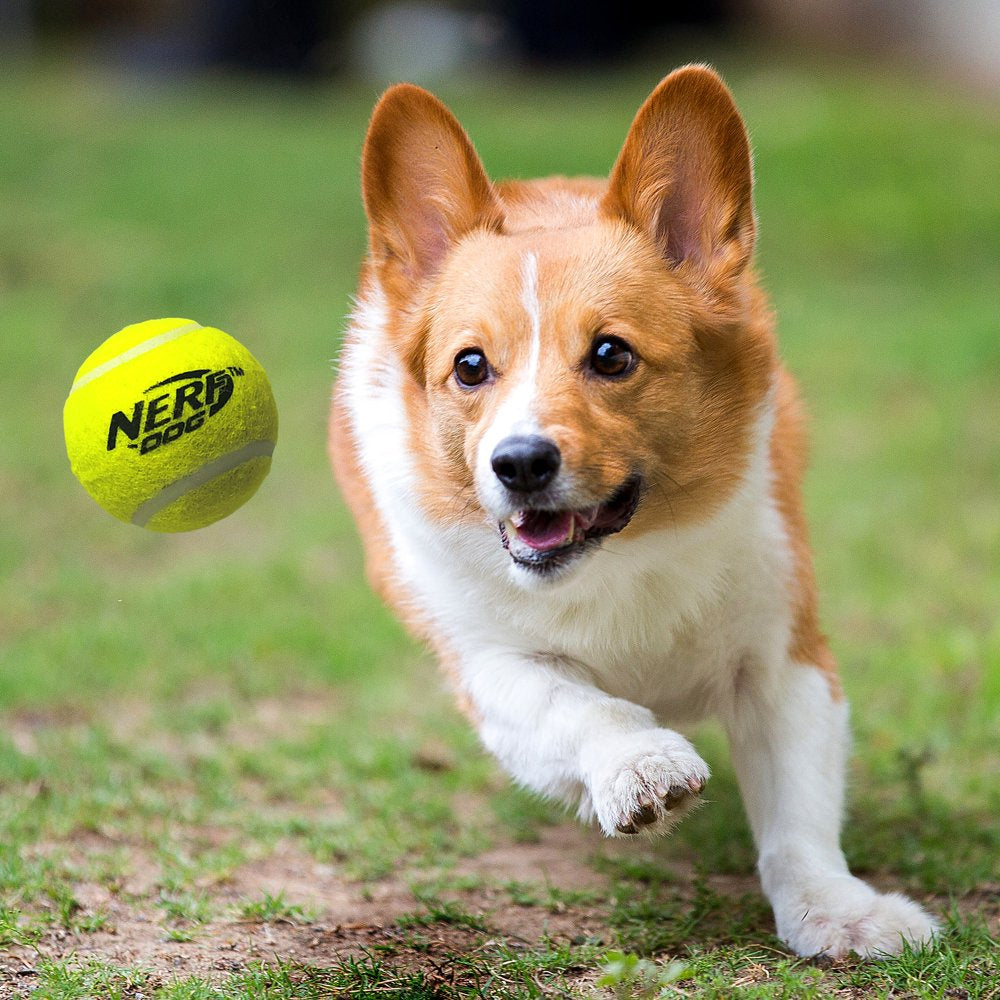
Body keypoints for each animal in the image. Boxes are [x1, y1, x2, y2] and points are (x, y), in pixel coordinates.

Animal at [328, 66, 936, 956]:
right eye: (470, 366)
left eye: (611, 354)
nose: (519, 464)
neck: (623, 558)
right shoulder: (487, 664)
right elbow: (578, 704)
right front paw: (639, 766)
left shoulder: (784, 659)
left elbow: (798, 816)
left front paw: (837, 910)